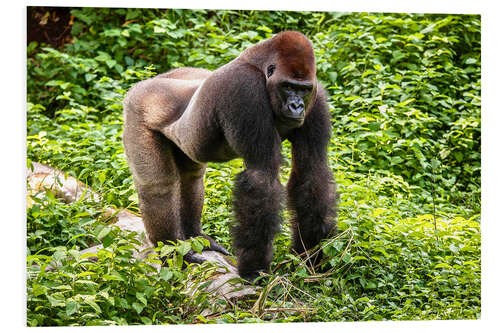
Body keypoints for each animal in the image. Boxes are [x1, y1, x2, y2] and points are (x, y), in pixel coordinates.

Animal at [123, 31, 338, 280]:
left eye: (303, 89)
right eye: (288, 87)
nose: (297, 106)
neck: (259, 65)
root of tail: (146, 82)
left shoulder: (317, 98)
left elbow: (311, 173)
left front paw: (311, 256)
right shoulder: (244, 88)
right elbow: (260, 178)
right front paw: (254, 269)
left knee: (191, 177)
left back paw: (195, 236)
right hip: (139, 105)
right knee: (158, 187)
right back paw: (173, 253)